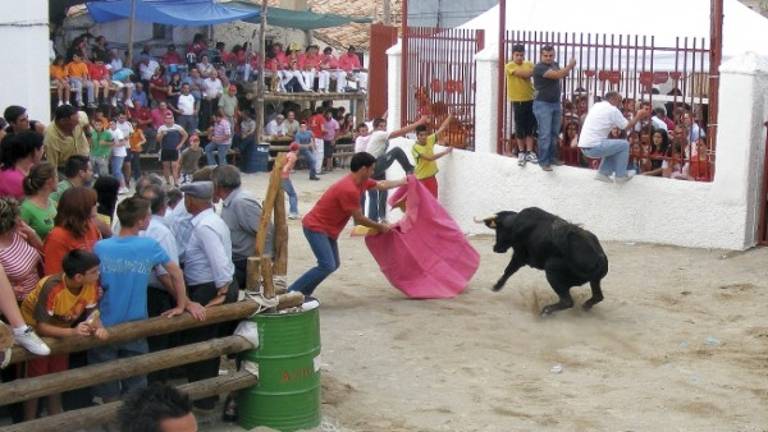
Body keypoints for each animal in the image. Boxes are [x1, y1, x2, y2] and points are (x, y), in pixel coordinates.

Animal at [476, 208, 608, 316]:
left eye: (498, 230)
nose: (495, 248)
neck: (515, 224)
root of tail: (599, 260)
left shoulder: (519, 255)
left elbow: (509, 270)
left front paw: (496, 286)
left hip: (552, 271)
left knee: (567, 301)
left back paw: (546, 311)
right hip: (594, 281)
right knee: (597, 296)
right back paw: (585, 306)